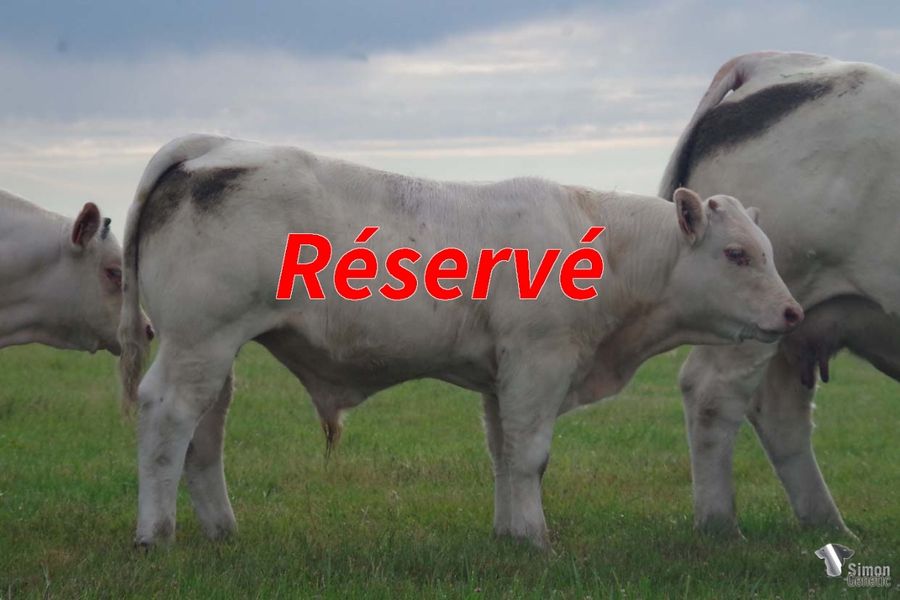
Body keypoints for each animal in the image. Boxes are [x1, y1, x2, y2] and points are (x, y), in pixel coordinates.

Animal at [118, 133, 802, 548]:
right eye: (737, 254)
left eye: (768, 251)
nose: (793, 312)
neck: (603, 245)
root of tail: (214, 150)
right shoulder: (538, 361)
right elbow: (531, 456)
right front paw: (537, 539)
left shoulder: (501, 377)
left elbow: (504, 452)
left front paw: (510, 535)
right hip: (198, 343)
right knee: (167, 419)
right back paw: (155, 532)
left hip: (215, 353)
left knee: (205, 435)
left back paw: (221, 530)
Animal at [659, 51, 900, 537]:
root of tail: (765, 62)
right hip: (756, 311)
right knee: (712, 394)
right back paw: (721, 528)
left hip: (794, 322)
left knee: (780, 413)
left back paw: (830, 528)